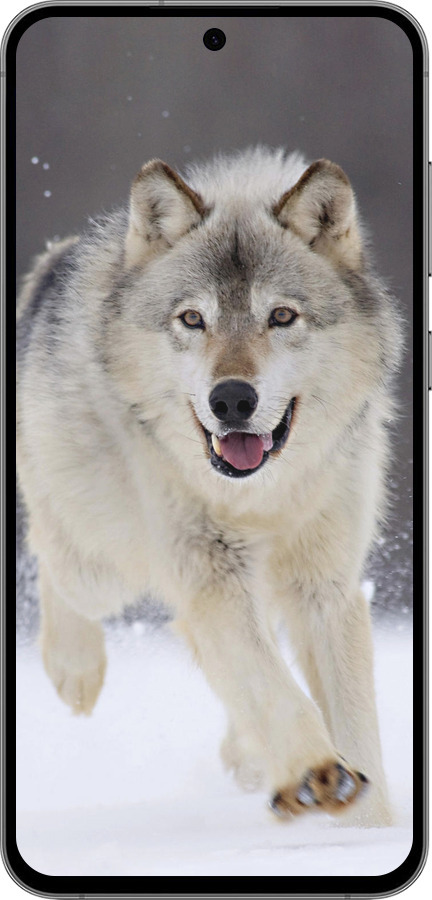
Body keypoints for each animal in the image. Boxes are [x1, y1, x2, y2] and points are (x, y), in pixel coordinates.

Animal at [16, 147, 401, 826]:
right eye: (193, 319)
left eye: (281, 316)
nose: (232, 400)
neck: (262, 497)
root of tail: (54, 261)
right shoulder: (210, 574)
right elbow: (273, 686)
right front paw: (316, 773)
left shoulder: (325, 586)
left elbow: (353, 722)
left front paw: (368, 826)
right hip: (103, 565)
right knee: (52, 556)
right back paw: (74, 671)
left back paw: (247, 757)